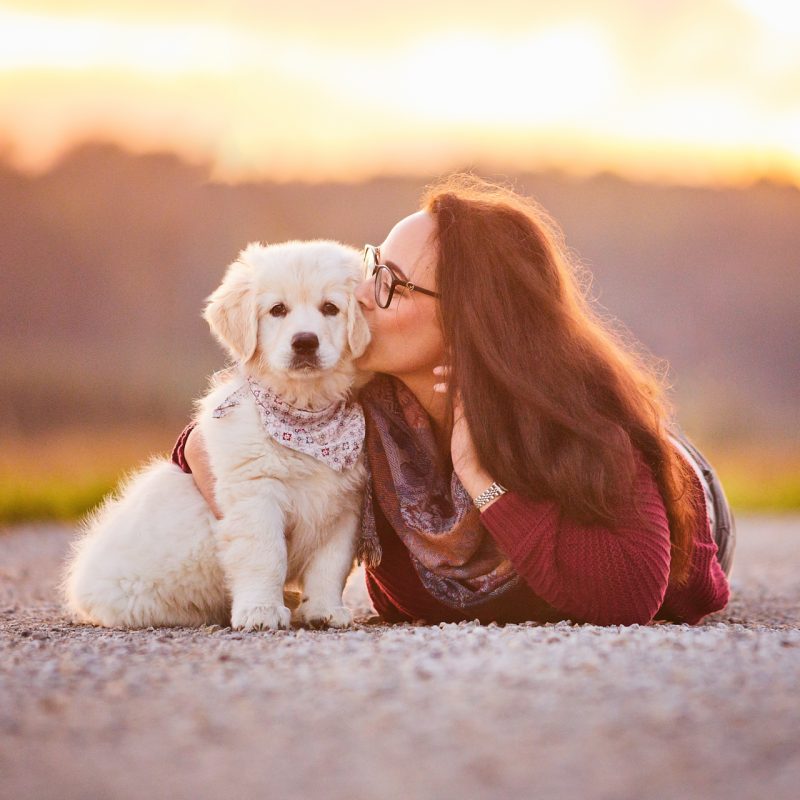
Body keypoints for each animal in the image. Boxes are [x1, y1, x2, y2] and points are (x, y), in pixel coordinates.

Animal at [62, 239, 372, 632]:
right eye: (278, 310)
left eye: (330, 308)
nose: (305, 342)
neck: (306, 415)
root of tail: (81, 582)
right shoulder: (254, 494)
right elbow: (266, 554)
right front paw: (260, 611)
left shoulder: (344, 507)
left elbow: (330, 565)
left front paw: (324, 610)